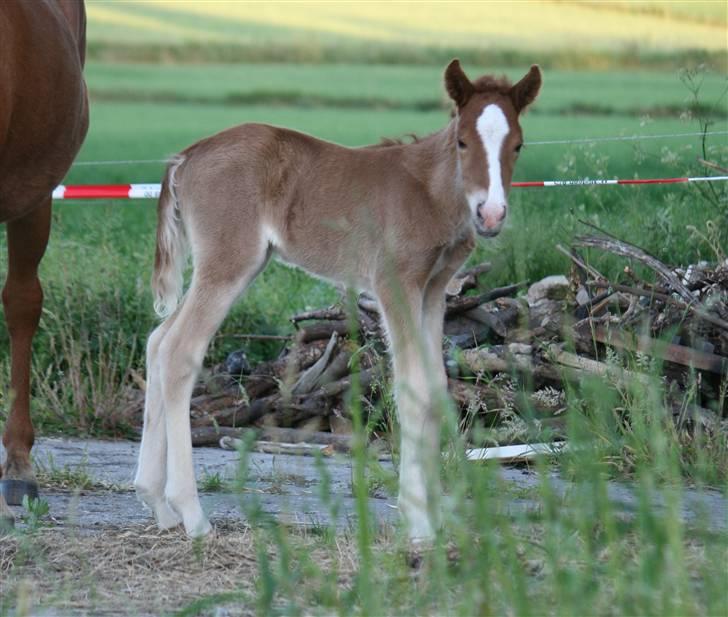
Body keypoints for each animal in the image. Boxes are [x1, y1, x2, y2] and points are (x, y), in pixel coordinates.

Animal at [135, 59, 540, 540]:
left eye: (518, 145)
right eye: (462, 141)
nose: (491, 215)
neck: (429, 191)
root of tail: (188, 155)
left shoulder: (434, 289)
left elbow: (437, 386)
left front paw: (435, 515)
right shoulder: (395, 284)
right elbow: (413, 387)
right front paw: (419, 522)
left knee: (157, 342)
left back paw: (156, 503)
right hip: (228, 262)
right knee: (180, 351)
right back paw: (192, 515)